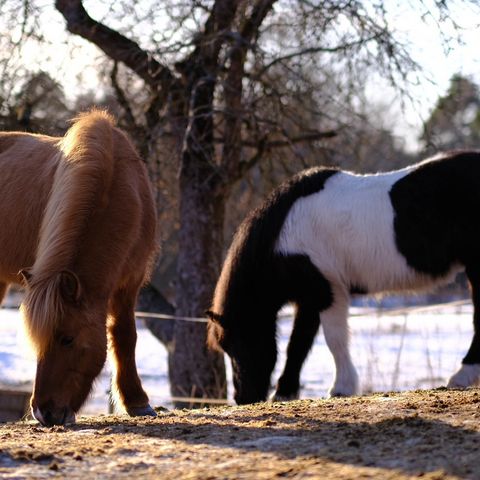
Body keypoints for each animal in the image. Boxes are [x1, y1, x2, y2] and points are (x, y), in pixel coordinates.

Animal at [208, 151, 480, 404]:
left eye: (237, 343)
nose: (243, 398)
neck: (283, 234)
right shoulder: (310, 298)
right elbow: (299, 343)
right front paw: (285, 393)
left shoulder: (328, 291)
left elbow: (333, 339)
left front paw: (341, 387)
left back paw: (462, 376)